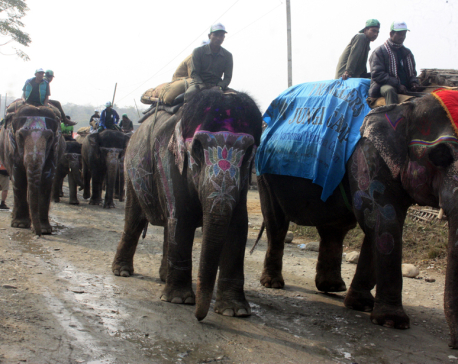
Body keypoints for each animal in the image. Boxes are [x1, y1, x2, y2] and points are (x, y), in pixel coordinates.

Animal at [0, 101, 65, 236]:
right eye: (20, 136)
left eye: (50, 137)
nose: (38, 234)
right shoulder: (11, 146)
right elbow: (18, 177)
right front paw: (20, 225)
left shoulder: (54, 149)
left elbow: (46, 179)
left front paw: (45, 229)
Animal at [110, 89, 262, 320]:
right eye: (197, 150)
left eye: (247, 156)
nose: (199, 318)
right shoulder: (167, 160)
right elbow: (181, 217)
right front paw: (179, 300)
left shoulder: (243, 181)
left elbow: (238, 225)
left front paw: (234, 311)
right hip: (131, 170)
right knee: (134, 219)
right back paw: (122, 272)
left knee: (165, 223)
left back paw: (163, 277)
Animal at [256, 88, 458, 346]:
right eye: (441, 156)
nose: (452, 344)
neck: (408, 103)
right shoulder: (368, 156)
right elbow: (383, 221)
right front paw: (392, 322)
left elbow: (380, 225)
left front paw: (361, 306)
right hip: (264, 176)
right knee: (277, 223)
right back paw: (273, 284)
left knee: (333, 228)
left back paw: (333, 287)